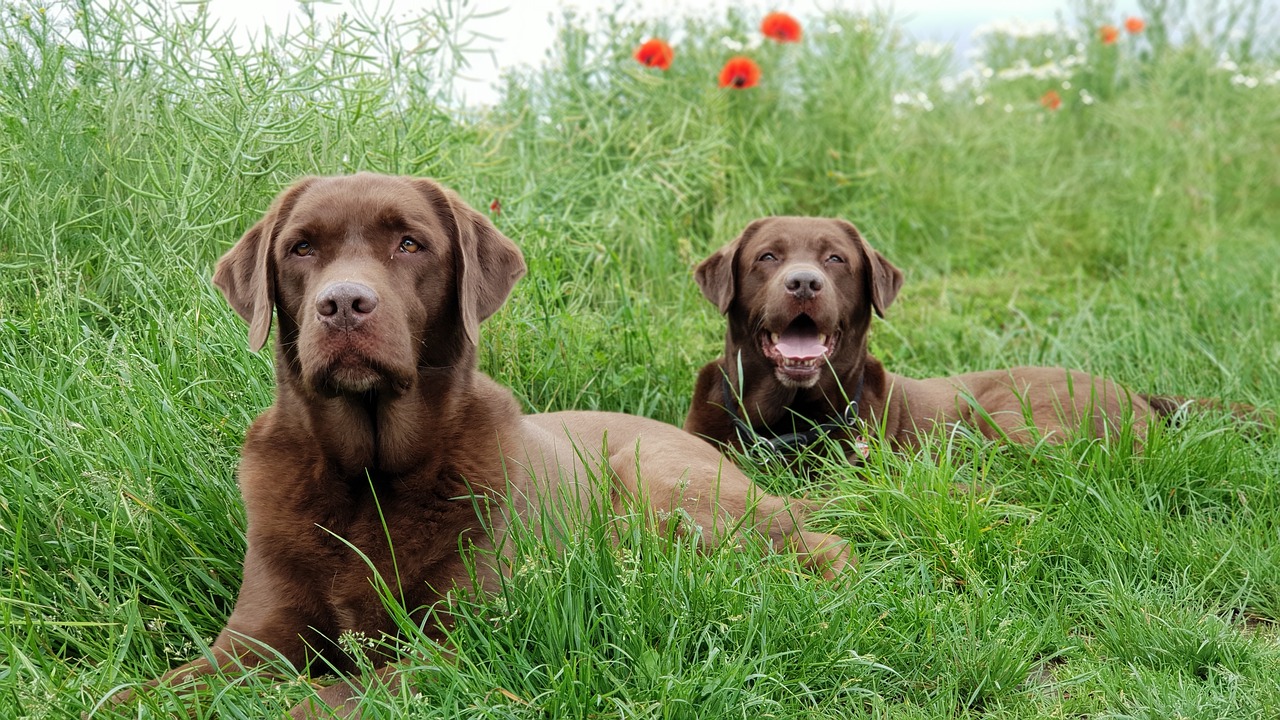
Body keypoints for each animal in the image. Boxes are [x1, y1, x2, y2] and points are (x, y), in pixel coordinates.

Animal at [104, 176, 849, 712]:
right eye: (302, 248)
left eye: (410, 244)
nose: (343, 304)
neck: (369, 477)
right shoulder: (252, 636)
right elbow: (149, 692)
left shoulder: (463, 643)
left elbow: (328, 696)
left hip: (658, 478)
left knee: (815, 545)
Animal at [686, 213, 1254, 458]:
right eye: (767, 256)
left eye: (835, 259)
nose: (804, 282)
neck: (783, 418)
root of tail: (1136, 394)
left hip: (1011, 414)